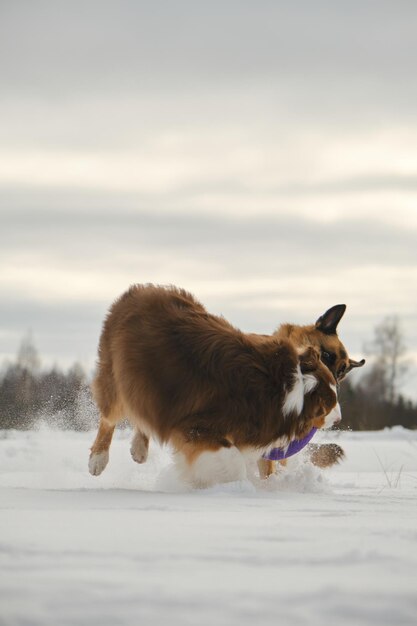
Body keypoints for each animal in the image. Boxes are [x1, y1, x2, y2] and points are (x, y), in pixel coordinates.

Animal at [88, 284, 342, 488]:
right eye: (324, 409)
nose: (339, 418)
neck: (289, 386)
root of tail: (139, 290)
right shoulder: (195, 426)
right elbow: (233, 462)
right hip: (118, 375)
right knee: (110, 417)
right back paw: (98, 460)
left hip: (146, 386)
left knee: (142, 413)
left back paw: (139, 449)